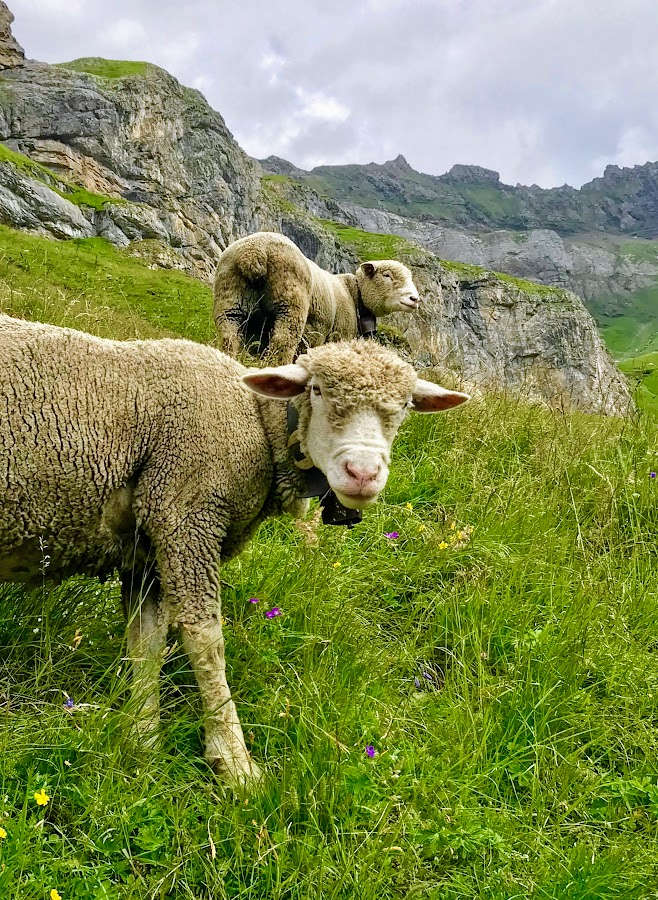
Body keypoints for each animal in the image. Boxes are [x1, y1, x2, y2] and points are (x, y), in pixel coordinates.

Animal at [0, 318, 468, 788]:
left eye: (405, 405)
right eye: (317, 390)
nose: (363, 473)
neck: (258, 424)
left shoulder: (149, 547)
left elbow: (146, 643)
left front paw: (142, 738)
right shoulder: (187, 514)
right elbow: (205, 641)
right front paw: (234, 762)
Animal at [215, 230, 420, 364]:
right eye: (387, 275)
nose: (415, 299)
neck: (354, 293)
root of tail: (255, 251)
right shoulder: (338, 336)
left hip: (229, 302)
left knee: (229, 337)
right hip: (290, 304)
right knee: (283, 341)